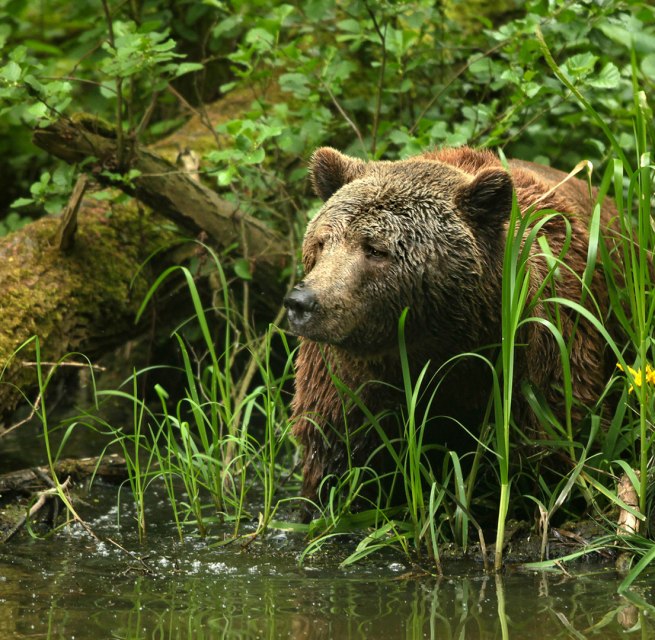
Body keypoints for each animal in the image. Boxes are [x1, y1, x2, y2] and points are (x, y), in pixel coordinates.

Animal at [284, 145, 616, 504]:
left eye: (375, 249)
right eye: (321, 242)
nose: (302, 302)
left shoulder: (537, 362)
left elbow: (546, 450)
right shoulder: (345, 383)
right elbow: (338, 461)